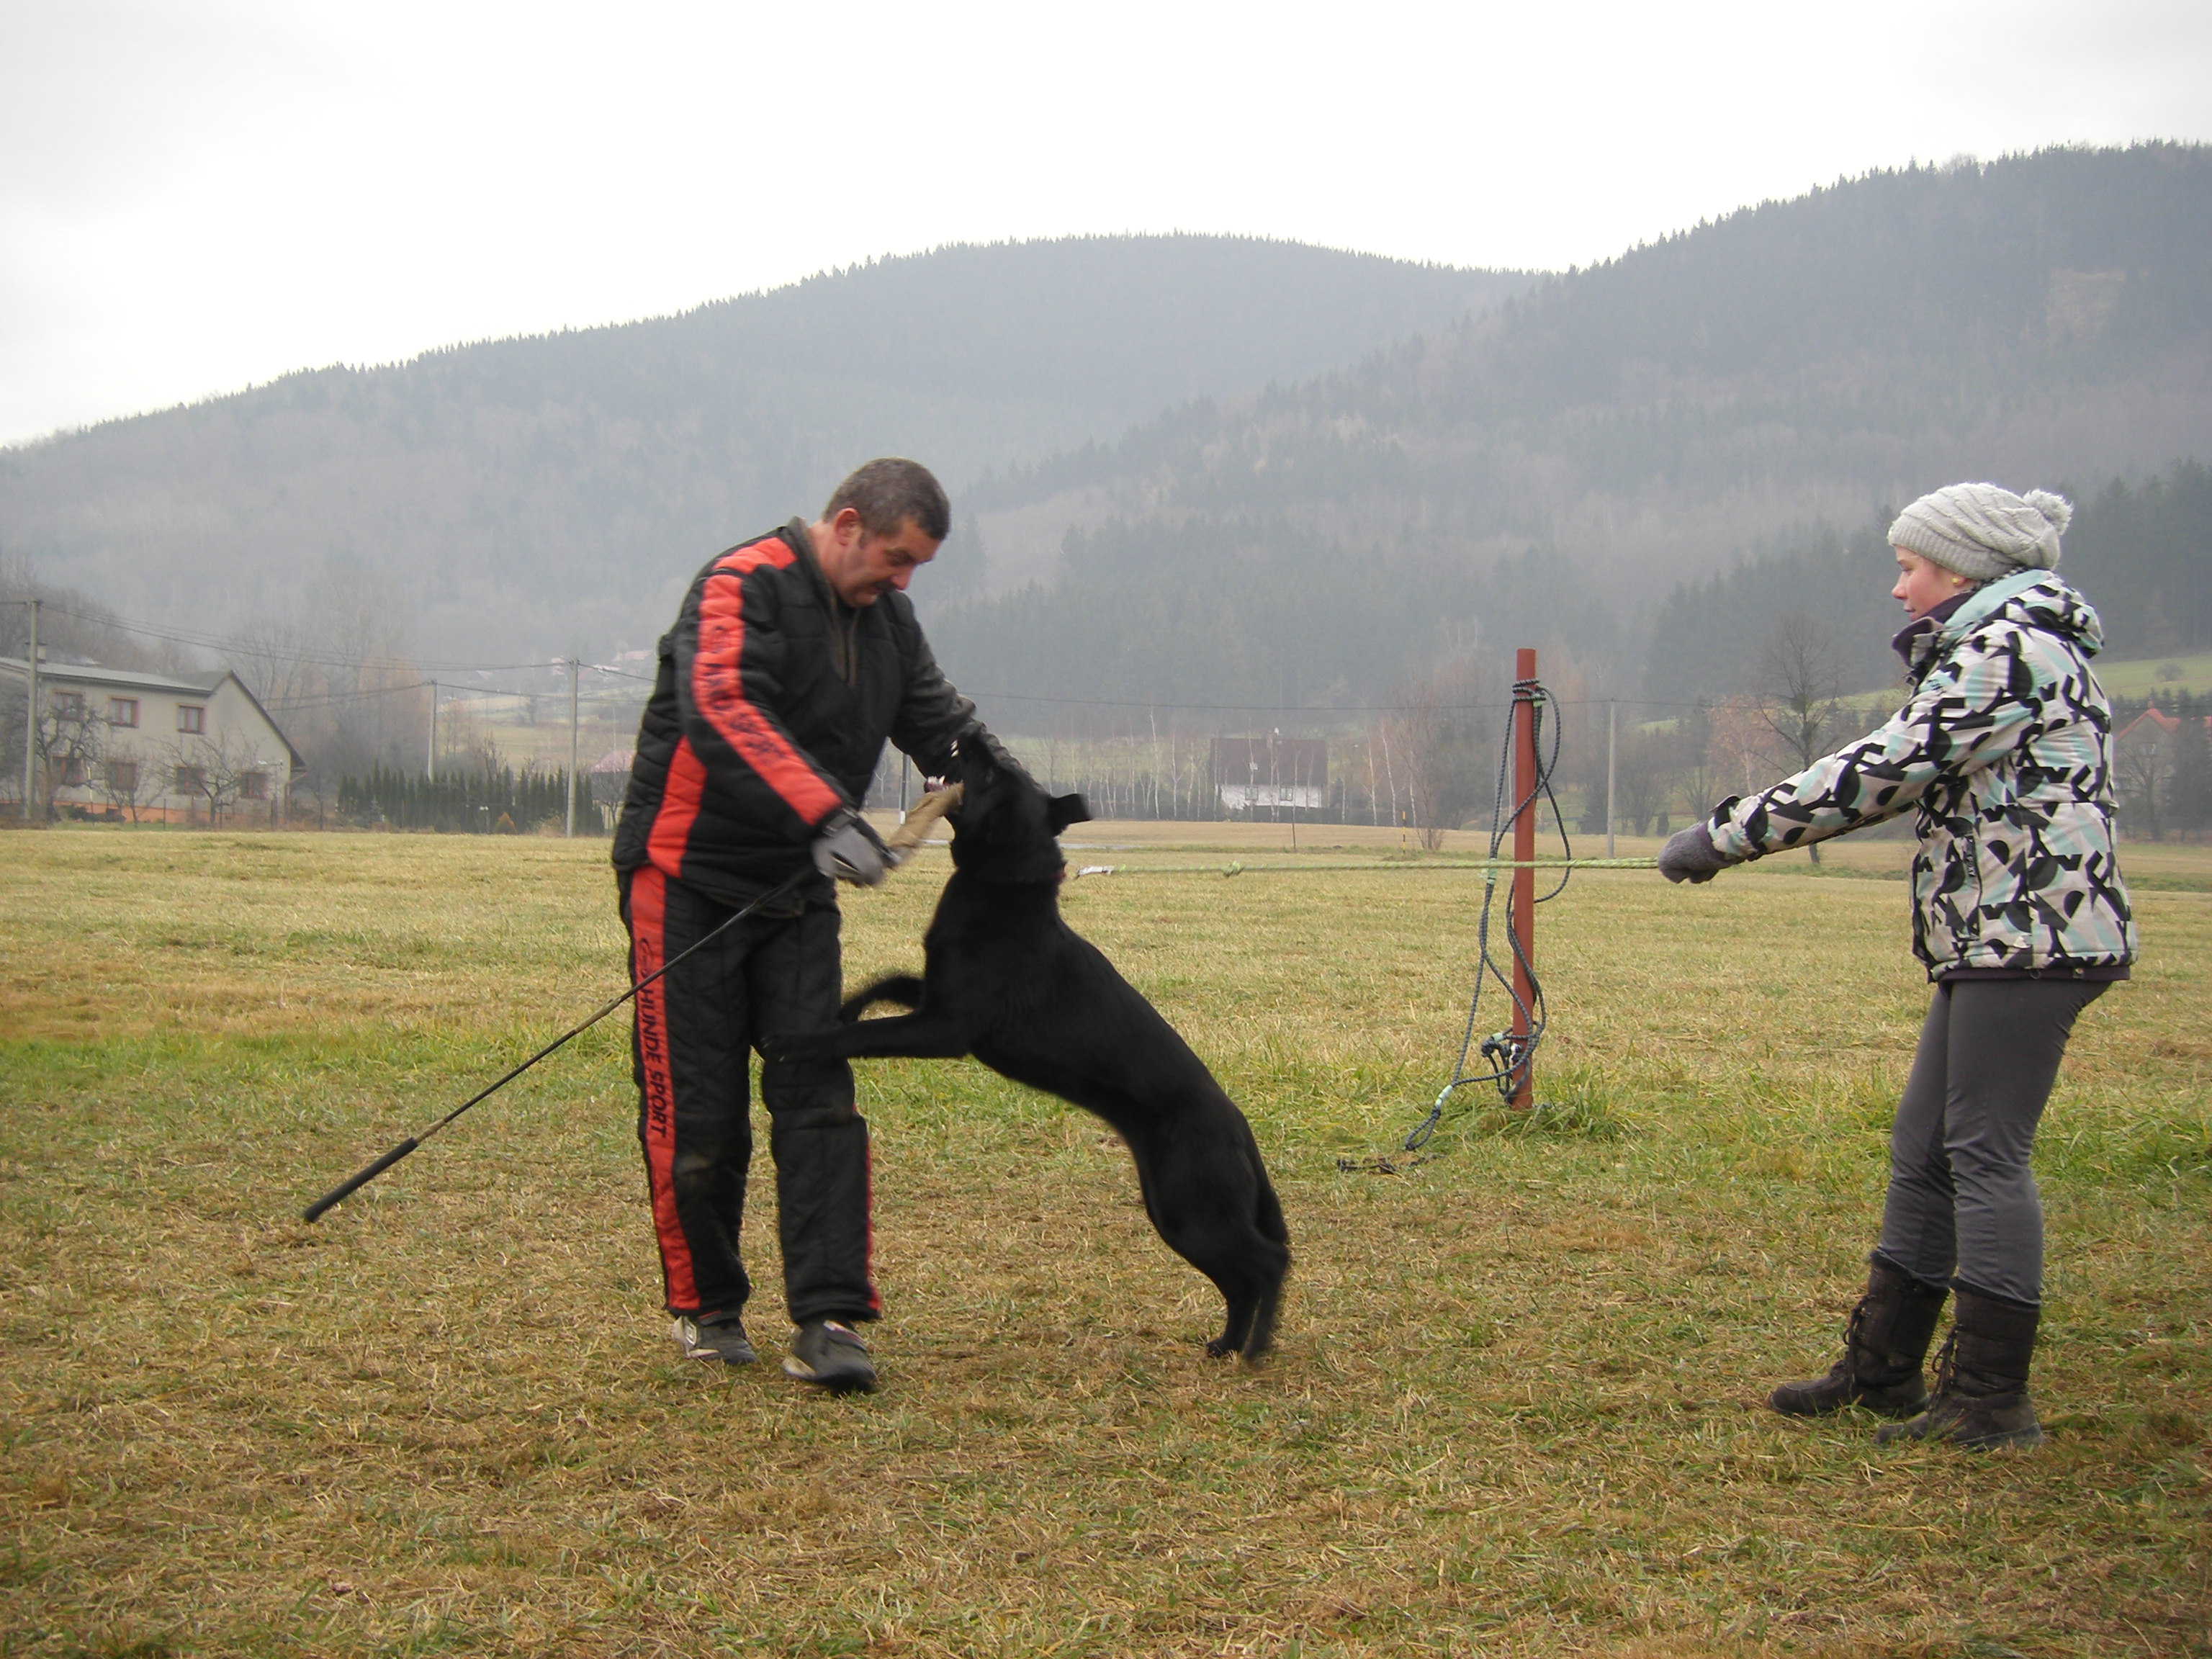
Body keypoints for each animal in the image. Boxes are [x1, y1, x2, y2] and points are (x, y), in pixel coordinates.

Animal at [787, 752, 1292, 1362]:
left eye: (995, 773)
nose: (971, 740)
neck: (1002, 884)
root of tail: (1240, 1129)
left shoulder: (945, 1028)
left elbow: (866, 1037)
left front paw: (802, 1042)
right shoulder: (935, 999)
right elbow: (886, 983)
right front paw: (846, 1007)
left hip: (1192, 1207)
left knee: (1268, 1263)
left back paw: (1257, 1346)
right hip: (1175, 1212)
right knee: (1239, 1279)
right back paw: (1228, 1343)